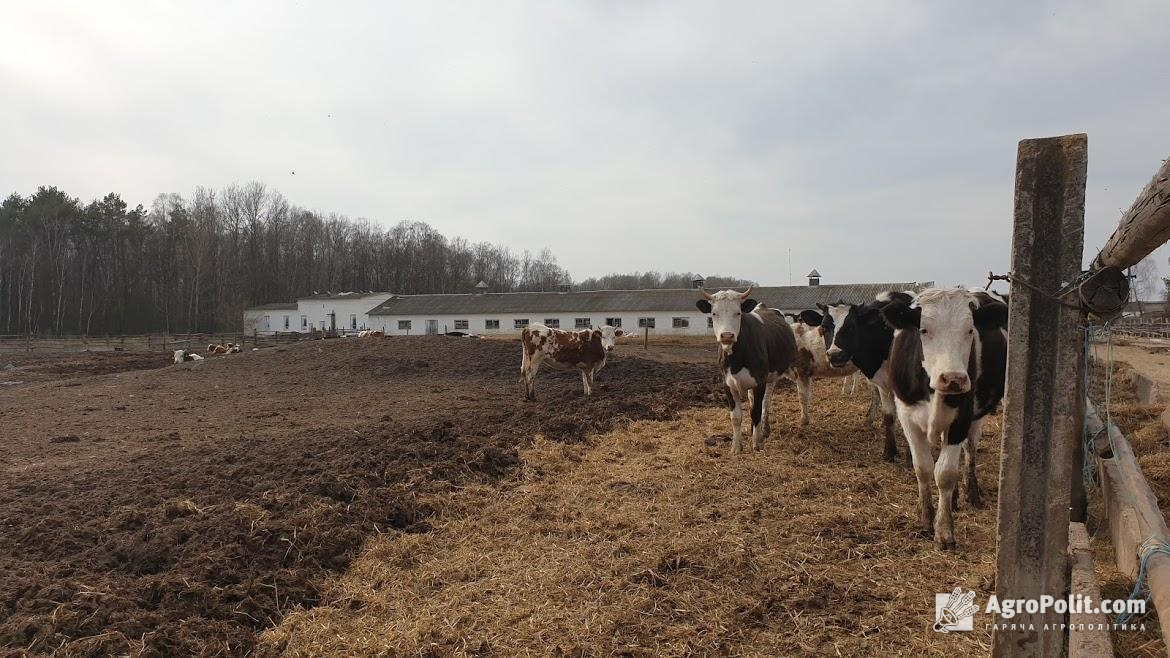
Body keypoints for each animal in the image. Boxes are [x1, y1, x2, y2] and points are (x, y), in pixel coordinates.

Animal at [687, 288, 800, 456]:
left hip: (771, 377)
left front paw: (757, 444)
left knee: (765, 403)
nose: (727, 335)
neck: (736, 359)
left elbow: (756, 412)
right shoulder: (727, 384)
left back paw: (764, 430)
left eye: (738, 312)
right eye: (714, 313)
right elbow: (736, 417)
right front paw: (736, 447)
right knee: (753, 403)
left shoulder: (759, 381)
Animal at [819, 289, 917, 463]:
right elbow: (888, 416)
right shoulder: (883, 382)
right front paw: (889, 453)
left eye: (851, 327)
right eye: (824, 327)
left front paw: (910, 457)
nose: (834, 355)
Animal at [879, 286, 1010, 547]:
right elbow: (923, 468)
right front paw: (925, 519)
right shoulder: (907, 418)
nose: (953, 379)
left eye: (970, 330)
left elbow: (946, 474)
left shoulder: (960, 421)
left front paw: (944, 529)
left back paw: (970, 493)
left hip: (976, 417)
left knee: (969, 452)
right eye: (924, 330)